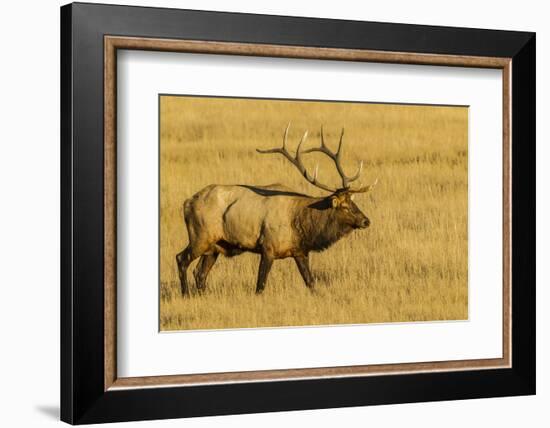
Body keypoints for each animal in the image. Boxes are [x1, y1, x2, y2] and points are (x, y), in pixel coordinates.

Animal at [179, 121, 378, 294]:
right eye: (344, 206)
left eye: (354, 202)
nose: (366, 221)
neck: (302, 225)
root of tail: (187, 203)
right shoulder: (268, 247)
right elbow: (260, 286)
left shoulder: (300, 252)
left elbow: (311, 282)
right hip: (200, 236)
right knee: (181, 259)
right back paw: (185, 294)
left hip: (215, 245)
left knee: (200, 273)